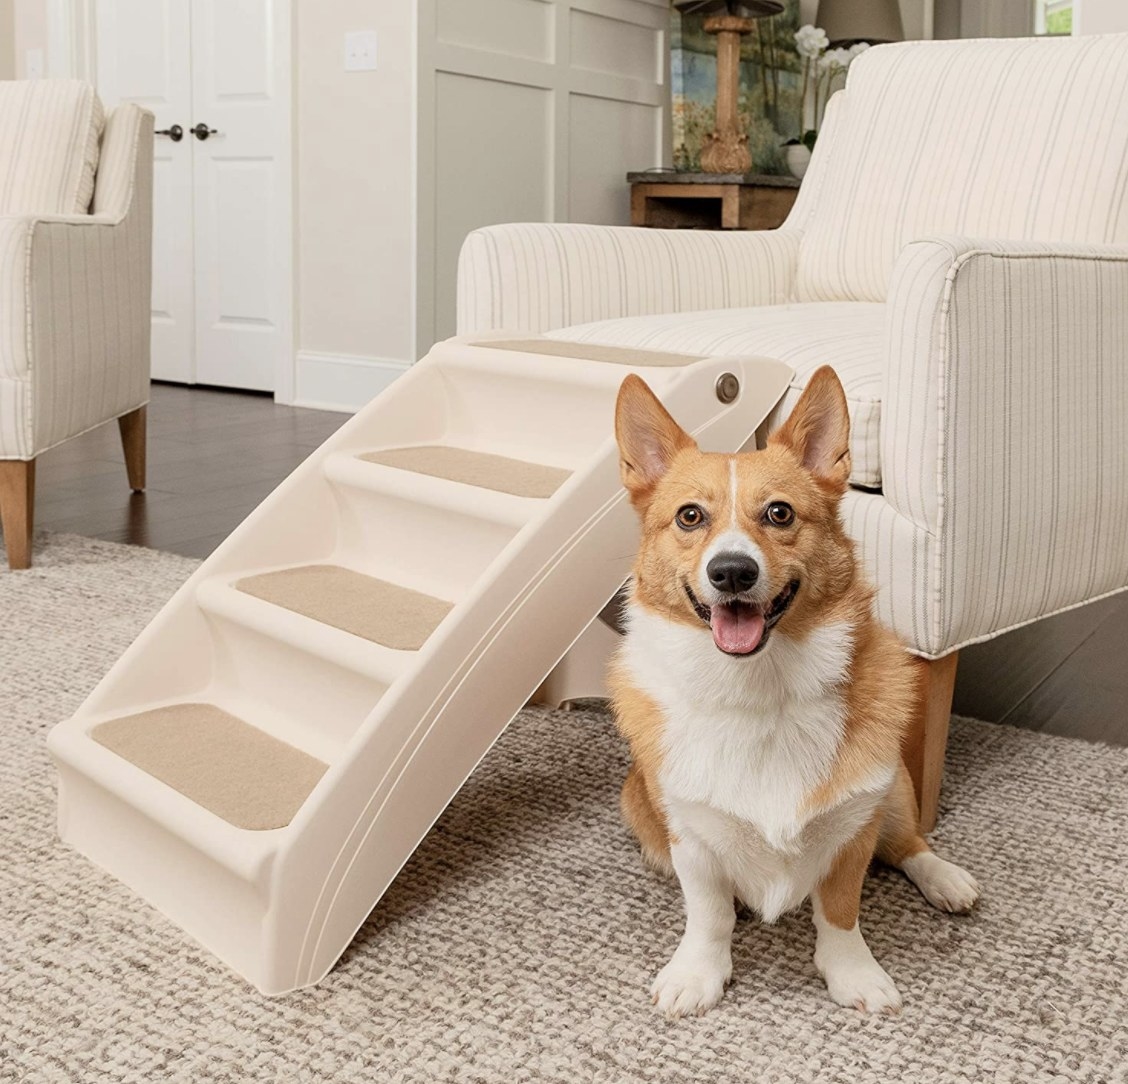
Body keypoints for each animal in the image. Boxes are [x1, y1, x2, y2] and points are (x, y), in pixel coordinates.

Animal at [609, 363, 979, 1015]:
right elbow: (708, 915)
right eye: (689, 516)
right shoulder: (690, 837)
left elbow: (841, 911)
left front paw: (854, 974)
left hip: (894, 789)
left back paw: (947, 879)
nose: (732, 572)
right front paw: (697, 975)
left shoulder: (853, 825)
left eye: (780, 513)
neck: (759, 690)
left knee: (909, 844)